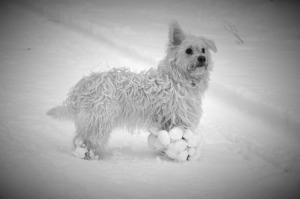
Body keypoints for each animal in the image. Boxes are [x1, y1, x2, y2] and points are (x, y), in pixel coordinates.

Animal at [47, 21, 217, 159]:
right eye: (188, 50)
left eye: (203, 50)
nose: (202, 58)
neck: (178, 79)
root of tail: (83, 86)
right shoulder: (177, 120)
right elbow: (181, 142)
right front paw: (183, 156)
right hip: (99, 121)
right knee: (86, 141)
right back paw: (90, 156)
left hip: (92, 121)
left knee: (79, 138)